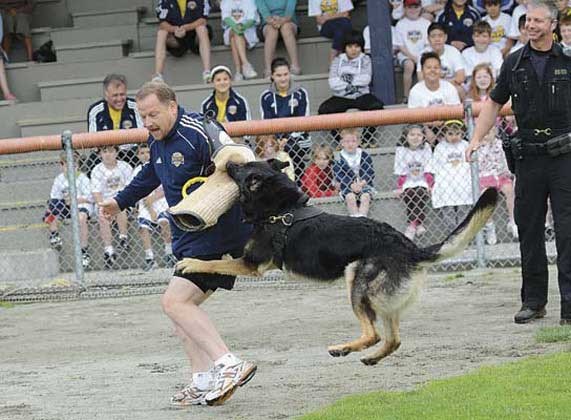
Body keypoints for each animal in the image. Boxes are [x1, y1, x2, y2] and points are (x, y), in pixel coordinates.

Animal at [177, 159, 498, 366]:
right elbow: (219, 259)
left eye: (241, 169)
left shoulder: (251, 264)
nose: (225, 163)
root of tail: (410, 248)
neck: (280, 209)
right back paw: (368, 358)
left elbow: (212, 264)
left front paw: (189, 263)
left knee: (372, 334)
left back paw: (343, 349)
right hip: (384, 302)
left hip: (355, 278)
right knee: (392, 340)